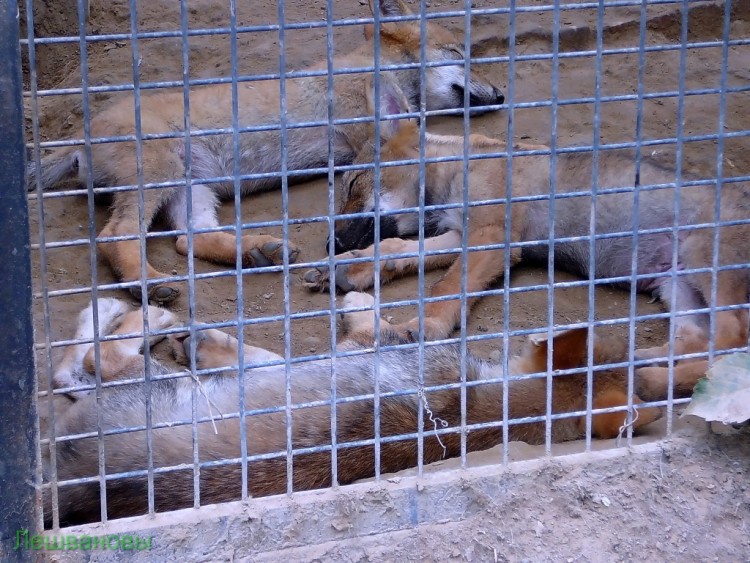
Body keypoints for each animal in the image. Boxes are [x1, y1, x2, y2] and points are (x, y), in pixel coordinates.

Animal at [26, 0, 506, 306]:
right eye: (461, 54)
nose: (501, 94)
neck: (377, 71)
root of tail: (80, 139)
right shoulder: (366, 136)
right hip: (159, 175)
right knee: (117, 235)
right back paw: (149, 285)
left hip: (193, 189)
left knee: (187, 239)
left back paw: (260, 251)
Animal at [302, 87, 750, 400]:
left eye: (354, 185)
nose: (329, 243)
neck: (455, 170)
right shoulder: (462, 233)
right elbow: (398, 249)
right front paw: (351, 266)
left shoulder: (492, 238)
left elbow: (445, 289)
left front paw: (418, 328)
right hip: (676, 285)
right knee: (700, 343)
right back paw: (634, 363)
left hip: (703, 262)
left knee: (732, 341)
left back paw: (650, 379)